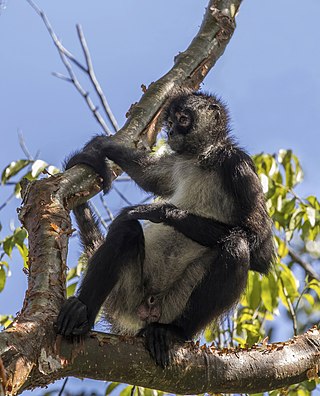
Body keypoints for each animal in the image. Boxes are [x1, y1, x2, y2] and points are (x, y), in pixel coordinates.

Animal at [55, 90, 276, 368]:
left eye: (183, 119)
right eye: (169, 122)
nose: (170, 133)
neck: (202, 159)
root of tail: (148, 307)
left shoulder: (238, 165)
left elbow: (261, 250)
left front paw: (158, 212)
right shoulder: (179, 162)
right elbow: (148, 177)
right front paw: (103, 145)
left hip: (174, 305)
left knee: (237, 246)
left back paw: (171, 332)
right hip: (128, 295)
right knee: (126, 232)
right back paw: (81, 313)